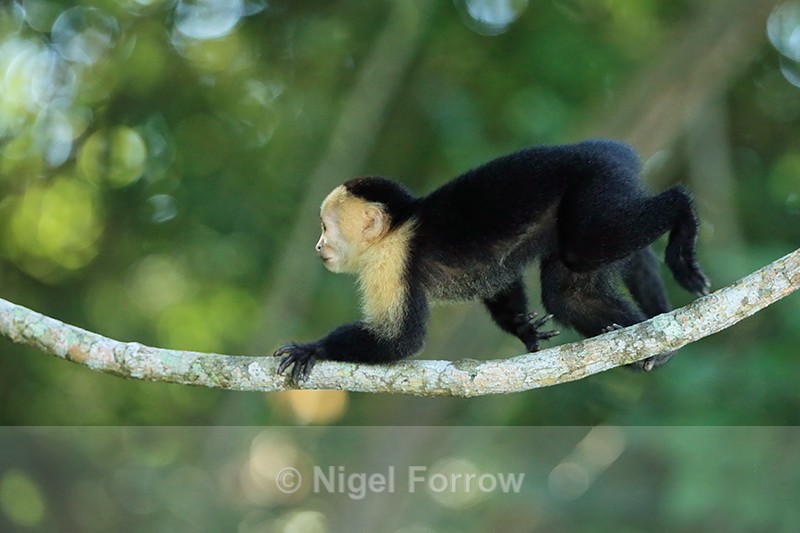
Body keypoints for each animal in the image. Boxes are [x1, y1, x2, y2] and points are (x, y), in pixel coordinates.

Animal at [274, 139, 710, 382]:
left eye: (325, 227)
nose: (318, 246)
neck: (396, 229)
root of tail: (602, 149)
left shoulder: (391, 261)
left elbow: (400, 340)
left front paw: (315, 348)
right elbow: (499, 277)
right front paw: (522, 328)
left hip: (596, 182)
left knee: (586, 247)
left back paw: (682, 216)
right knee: (570, 293)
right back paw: (650, 347)